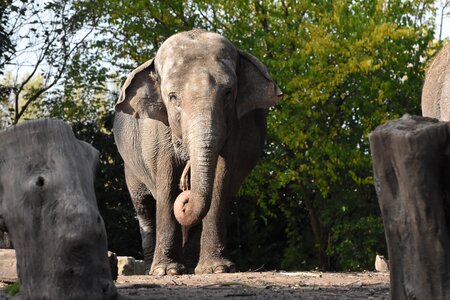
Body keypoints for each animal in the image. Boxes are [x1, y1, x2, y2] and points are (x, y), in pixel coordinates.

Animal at [112, 29, 282, 276]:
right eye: (172, 97)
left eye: (228, 92)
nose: (186, 194)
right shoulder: (157, 131)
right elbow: (167, 181)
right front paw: (166, 271)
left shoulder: (236, 129)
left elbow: (221, 178)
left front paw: (217, 269)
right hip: (130, 166)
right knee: (143, 205)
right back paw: (152, 267)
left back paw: (192, 265)